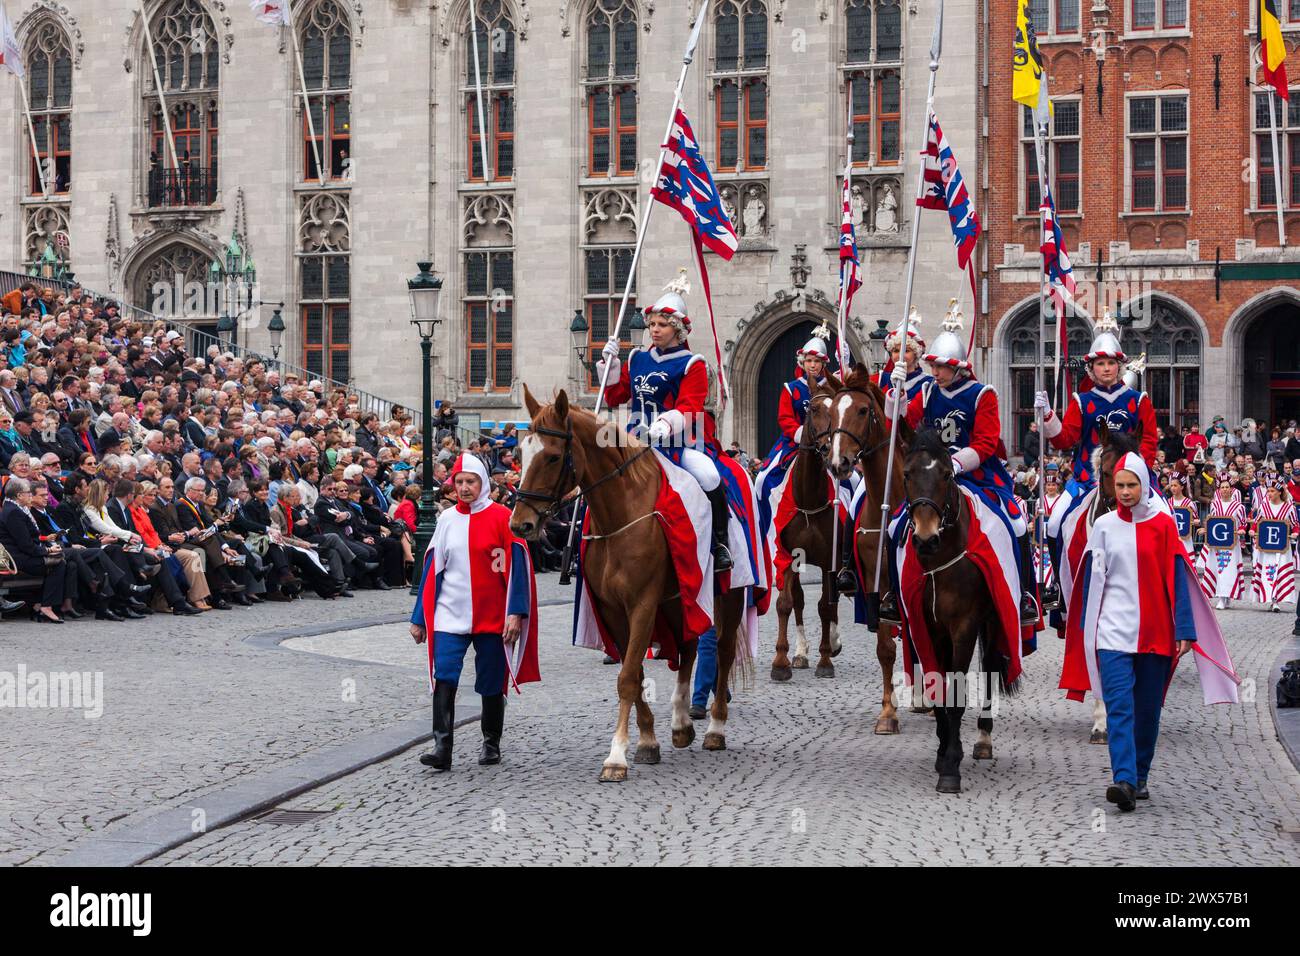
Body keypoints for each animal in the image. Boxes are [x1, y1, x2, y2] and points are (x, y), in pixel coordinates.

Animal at [512, 390, 748, 785]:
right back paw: (681, 723)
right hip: (680, 599)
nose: (520, 524)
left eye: (553, 456)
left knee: (724, 651)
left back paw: (715, 728)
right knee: (688, 648)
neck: (619, 515)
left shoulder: (642, 604)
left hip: (729, 595)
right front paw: (648, 740)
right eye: (520, 453)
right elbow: (634, 674)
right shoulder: (613, 610)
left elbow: (626, 678)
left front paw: (616, 756)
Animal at [899, 431, 1019, 790]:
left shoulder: (964, 627)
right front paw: (943, 753)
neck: (941, 563)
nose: (926, 539)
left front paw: (951, 765)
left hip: (992, 622)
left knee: (990, 666)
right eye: (906, 474)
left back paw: (983, 738)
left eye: (946, 475)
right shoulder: (930, 628)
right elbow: (938, 686)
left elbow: (957, 692)